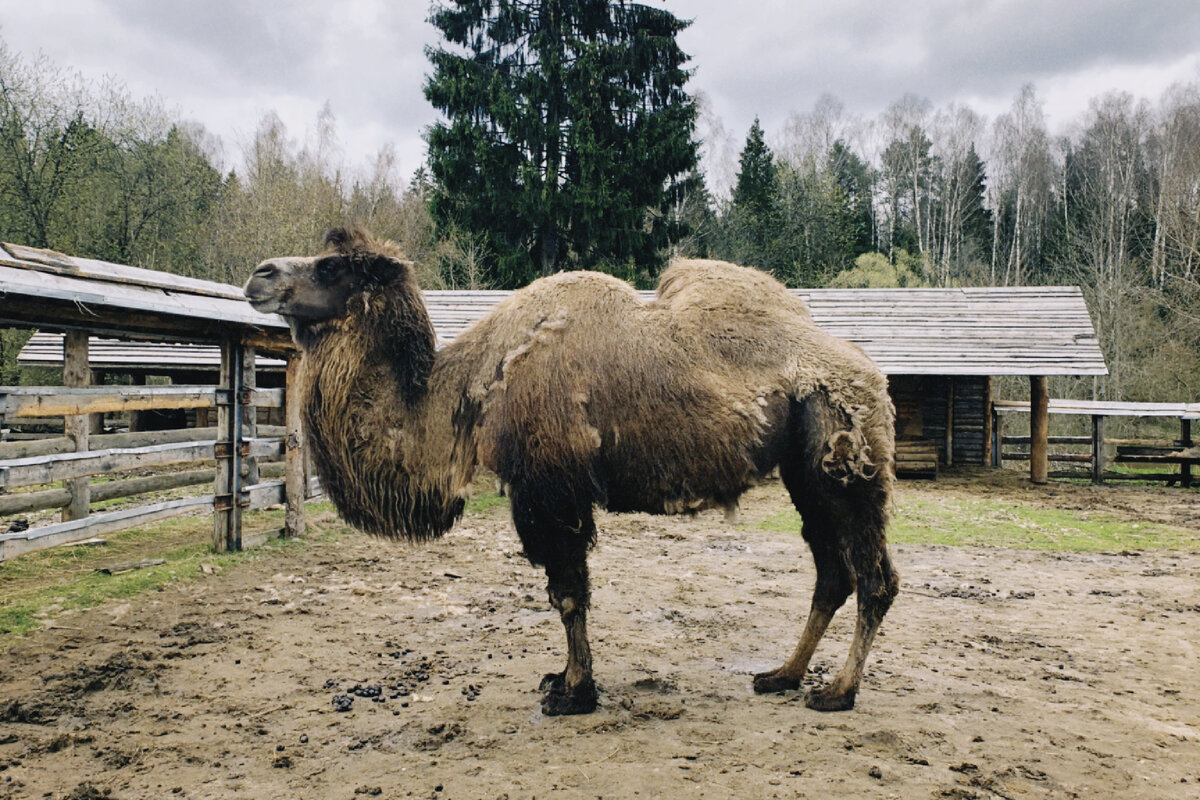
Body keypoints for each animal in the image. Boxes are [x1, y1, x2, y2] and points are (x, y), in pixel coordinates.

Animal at [243, 227, 902, 714]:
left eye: (332, 266)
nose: (259, 274)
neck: (469, 391)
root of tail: (873, 377)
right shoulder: (548, 494)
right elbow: (566, 593)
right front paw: (562, 679)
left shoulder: (549, 489)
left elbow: (567, 593)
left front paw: (575, 692)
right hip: (806, 475)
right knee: (831, 573)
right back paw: (782, 675)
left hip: (850, 467)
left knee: (874, 578)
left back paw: (837, 692)